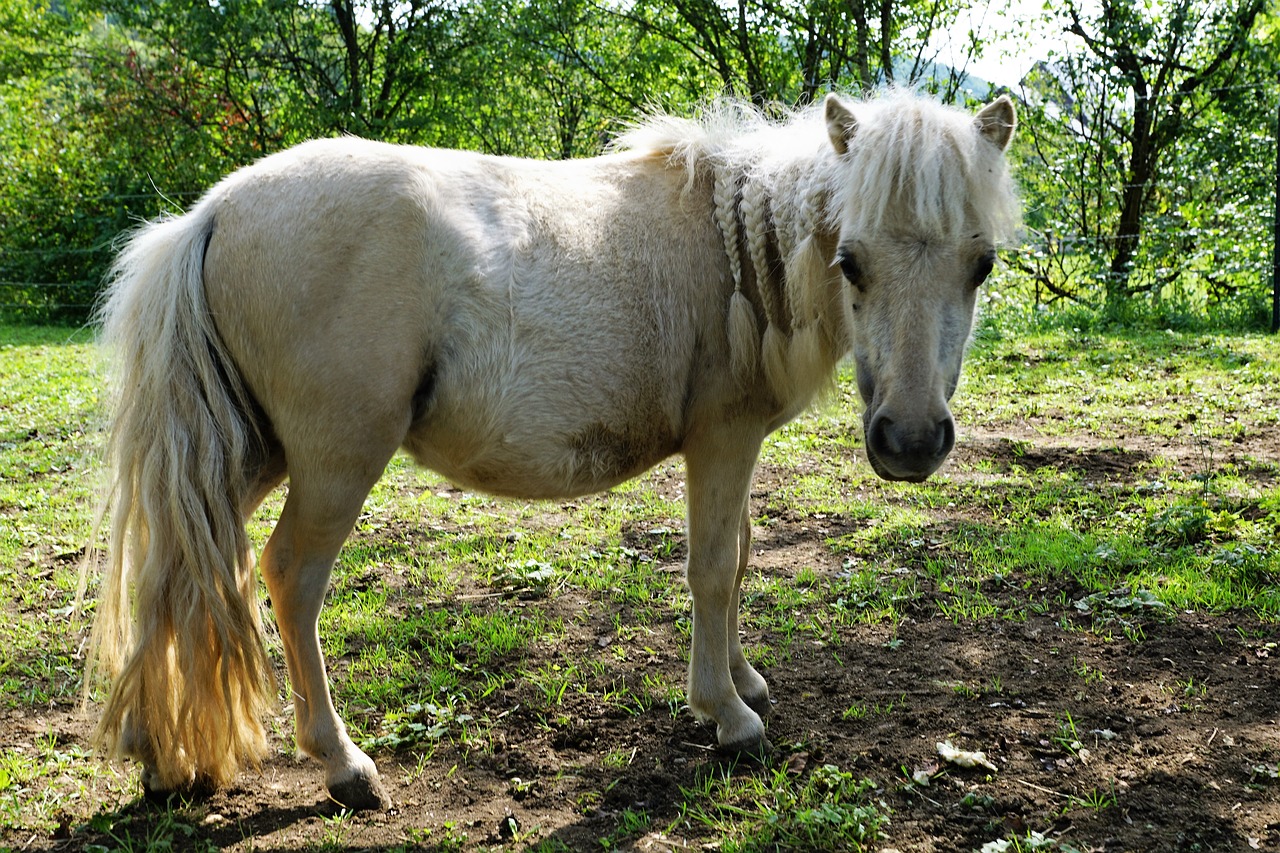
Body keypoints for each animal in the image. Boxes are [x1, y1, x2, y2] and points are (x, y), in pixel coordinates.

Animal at [82, 89, 1018, 809]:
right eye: (851, 261)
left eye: (981, 265)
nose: (911, 440)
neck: (731, 244)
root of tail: (214, 210)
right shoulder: (721, 439)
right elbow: (715, 568)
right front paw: (727, 712)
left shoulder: (739, 446)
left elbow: (744, 556)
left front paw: (745, 678)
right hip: (334, 463)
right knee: (290, 578)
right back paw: (342, 763)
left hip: (247, 455)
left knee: (178, 568)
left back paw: (158, 754)